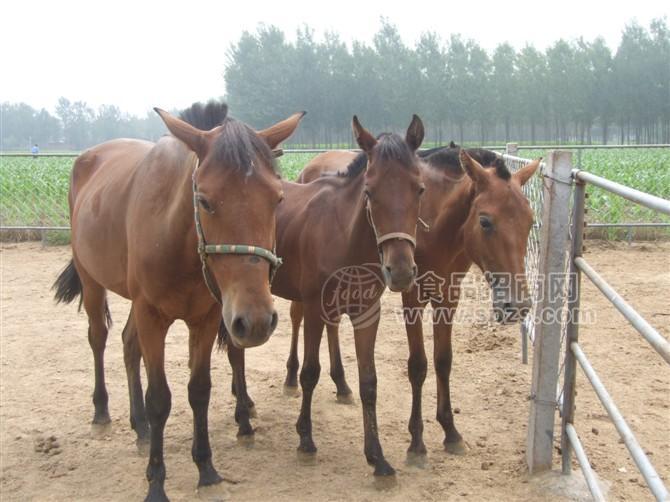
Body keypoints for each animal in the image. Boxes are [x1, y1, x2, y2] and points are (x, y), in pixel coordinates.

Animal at [52, 101, 304, 501]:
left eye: (278, 199)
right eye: (204, 200)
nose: (257, 321)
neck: (177, 240)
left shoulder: (208, 317)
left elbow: (198, 390)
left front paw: (206, 469)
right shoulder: (152, 316)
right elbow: (160, 398)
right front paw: (156, 482)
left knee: (128, 345)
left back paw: (139, 427)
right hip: (92, 282)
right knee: (99, 339)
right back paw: (102, 412)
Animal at [224, 115, 426, 480]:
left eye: (419, 188)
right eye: (369, 191)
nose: (401, 271)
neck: (344, 234)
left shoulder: (366, 313)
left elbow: (369, 382)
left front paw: (377, 457)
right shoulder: (316, 309)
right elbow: (310, 373)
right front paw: (305, 439)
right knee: (235, 352)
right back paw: (243, 418)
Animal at [284, 145, 540, 461]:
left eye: (530, 221)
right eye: (485, 221)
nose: (517, 306)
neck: (437, 222)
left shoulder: (448, 296)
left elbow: (443, 361)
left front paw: (450, 430)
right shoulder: (413, 297)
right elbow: (418, 365)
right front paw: (417, 442)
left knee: (332, 325)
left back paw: (342, 384)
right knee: (297, 316)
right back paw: (291, 377)